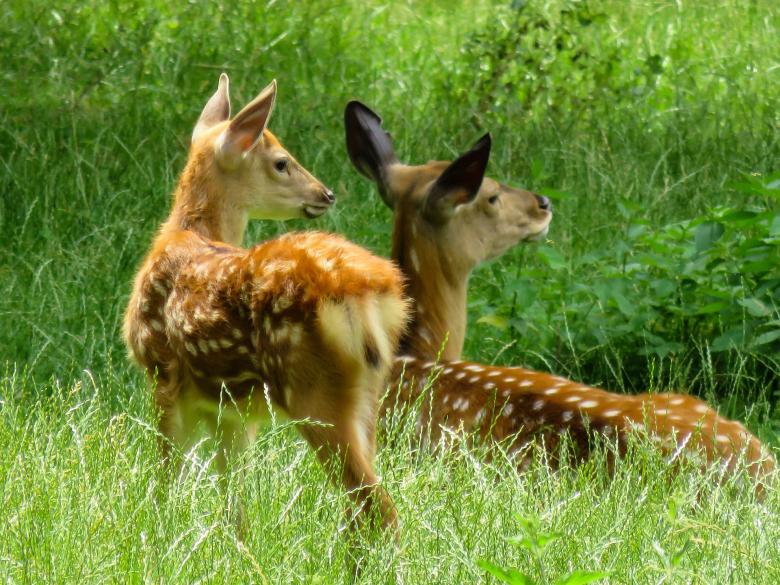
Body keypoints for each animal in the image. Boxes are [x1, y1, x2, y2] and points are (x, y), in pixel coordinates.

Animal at [122, 75, 409, 533]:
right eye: (281, 162)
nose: (326, 194)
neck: (185, 234)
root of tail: (370, 289)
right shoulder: (233, 412)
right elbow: (234, 506)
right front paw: (237, 546)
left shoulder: (162, 374)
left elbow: (168, 479)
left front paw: (157, 533)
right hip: (369, 390)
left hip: (312, 388)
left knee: (377, 507)